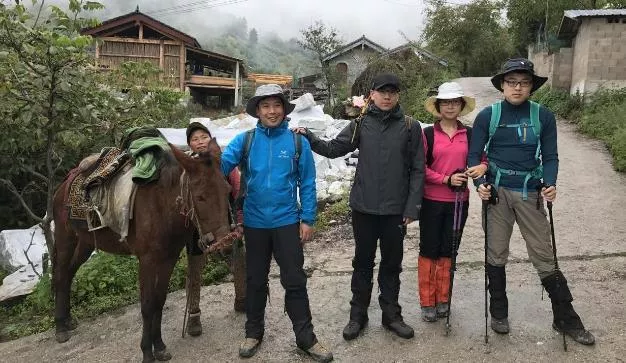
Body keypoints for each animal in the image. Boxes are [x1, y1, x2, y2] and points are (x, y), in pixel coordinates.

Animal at [51, 141, 232, 362]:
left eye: (227, 190)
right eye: (200, 197)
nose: (226, 245)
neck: (161, 203)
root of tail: (64, 184)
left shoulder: (168, 259)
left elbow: (159, 301)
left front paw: (159, 346)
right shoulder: (146, 261)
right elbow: (147, 306)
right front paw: (147, 351)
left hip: (85, 244)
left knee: (69, 274)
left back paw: (67, 321)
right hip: (65, 239)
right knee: (61, 275)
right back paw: (60, 327)